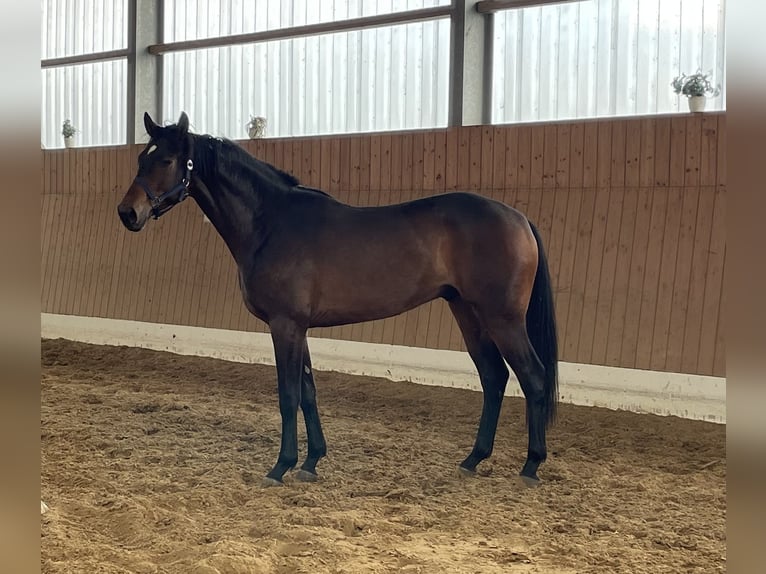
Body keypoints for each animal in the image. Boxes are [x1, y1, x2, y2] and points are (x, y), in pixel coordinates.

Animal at [117, 112, 559, 488]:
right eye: (141, 157)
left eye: (167, 159)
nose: (127, 213)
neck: (270, 222)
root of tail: (518, 218)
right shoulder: (300, 328)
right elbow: (308, 392)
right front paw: (311, 462)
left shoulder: (285, 325)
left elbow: (288, 395)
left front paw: (280, 466)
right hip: (467, 312)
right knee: (493, 376)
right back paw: (473, 459)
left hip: (502, 318)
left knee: (533, 376)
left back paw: (531, 466)